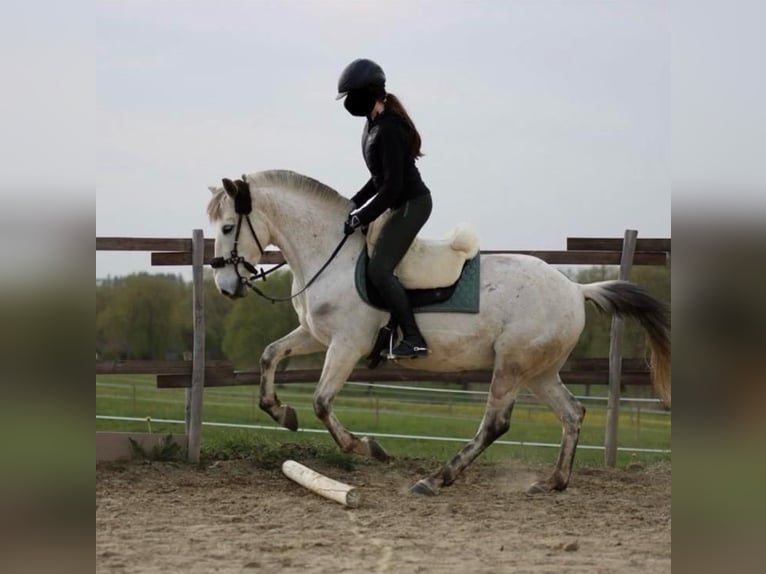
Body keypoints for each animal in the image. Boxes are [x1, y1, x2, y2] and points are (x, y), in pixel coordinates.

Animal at [207, 169, 670, 495]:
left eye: (228, 227)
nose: (226, 287)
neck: (330, 256)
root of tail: (575, 289)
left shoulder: (346, 345)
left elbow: (322, 402)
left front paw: (369, 448)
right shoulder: (314, 335)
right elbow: (270, 355)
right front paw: (281, 412)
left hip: (511, 366)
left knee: (495, 424)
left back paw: (436, 479)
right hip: (538, 372)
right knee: (572, 415)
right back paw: (552, 483)